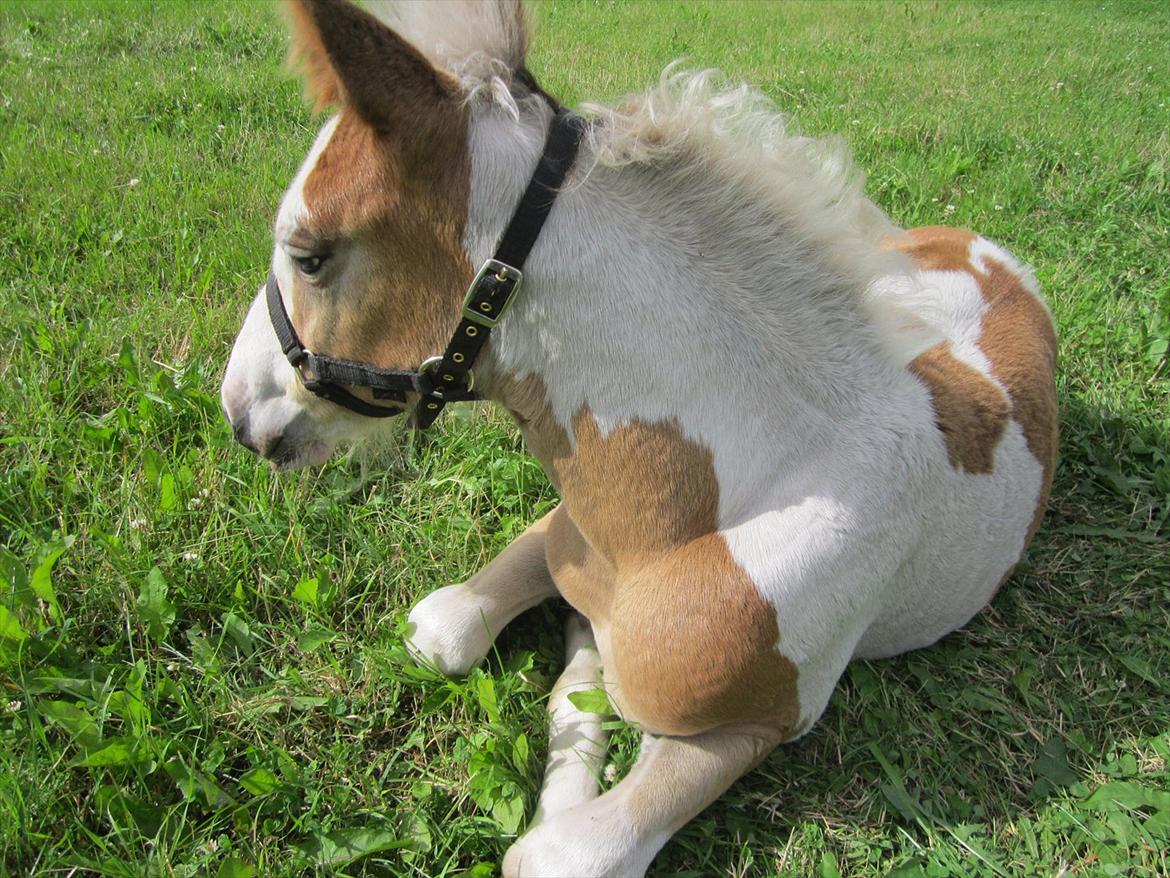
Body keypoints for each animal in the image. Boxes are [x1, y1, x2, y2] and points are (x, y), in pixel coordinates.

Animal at [215, 3, 1057, 875]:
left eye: (311, 256)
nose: (240, 413)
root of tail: (996, 254)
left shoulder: (768, 719)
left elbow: (561, 848)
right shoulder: (569, 530)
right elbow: (451, 635)